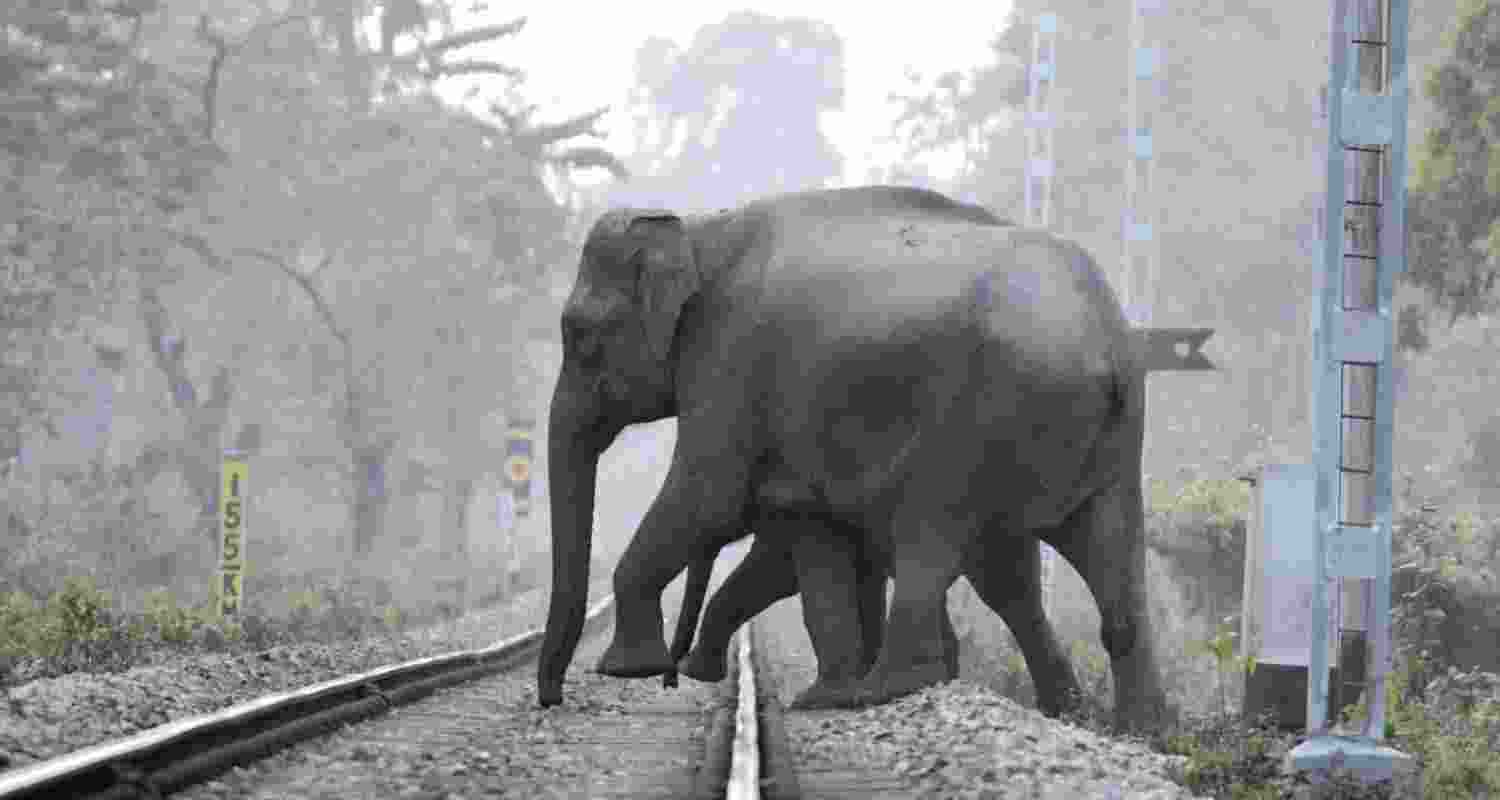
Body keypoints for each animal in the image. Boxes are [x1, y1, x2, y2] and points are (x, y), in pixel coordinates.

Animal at [537, 185, 1168, 733]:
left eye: (580, 333)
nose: (551, 699)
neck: (698, 228)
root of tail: (1099, 336)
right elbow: (811, 534)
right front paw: (823, 697)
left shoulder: (730, 357)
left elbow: (711, 496)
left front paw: (627, 668)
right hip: (1111, 439)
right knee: (1089, 566)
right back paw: (1127, 729)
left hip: (980, 422)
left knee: (933, 534)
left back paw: (890, 688)